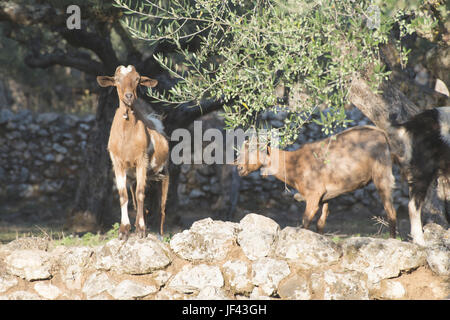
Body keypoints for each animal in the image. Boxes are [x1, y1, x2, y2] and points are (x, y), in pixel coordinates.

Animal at [96, 65, 169, 240]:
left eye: (137, 79)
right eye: (117, 80)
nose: (129, 96)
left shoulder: (142, 160)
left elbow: (141, 193)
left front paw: (141, 230)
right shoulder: (118, 163)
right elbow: (124, 195)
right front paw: (124, 230)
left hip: (164, 174)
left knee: (161, 207)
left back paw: (159, 234)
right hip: (134, 176)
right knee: (136, 199)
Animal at [236, 125, 398, 238]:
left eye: (254, 151)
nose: (239, 168)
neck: (294, 164)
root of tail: (383, 135)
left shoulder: (313, 194)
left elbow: (306, 220)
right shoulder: (326, 196)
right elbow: (320, 223)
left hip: (382, 174)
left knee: (391, 211)